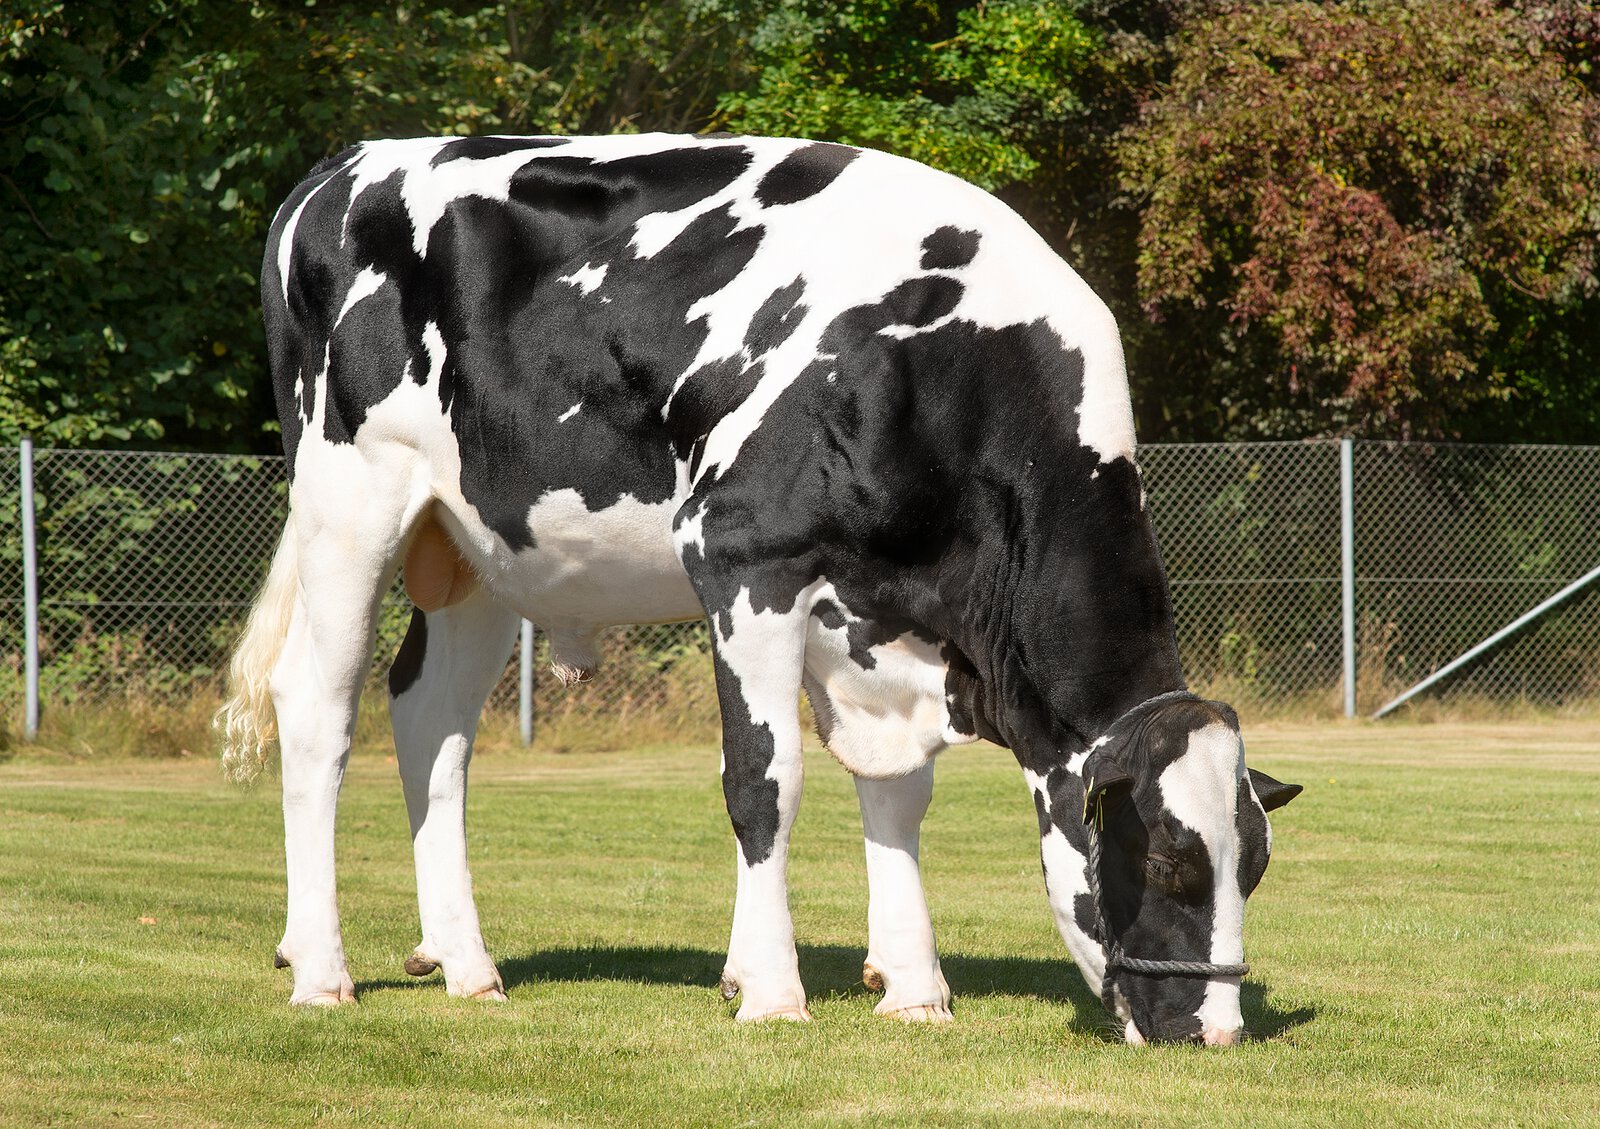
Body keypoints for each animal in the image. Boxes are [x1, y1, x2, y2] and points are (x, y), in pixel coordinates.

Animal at [219, 133, 1301, 1045]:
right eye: (1167, 859)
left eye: (1254, 864)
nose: (1213, 1032)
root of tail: (343, 166)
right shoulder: (743, 556)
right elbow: (764, 780)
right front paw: (775, 993)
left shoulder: (881, 621)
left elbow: (898, 793)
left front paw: (914, 989)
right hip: (350, 502)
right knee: (316, 709)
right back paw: (322, 971)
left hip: (476, 545)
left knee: (432, 725)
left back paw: (465, 965)